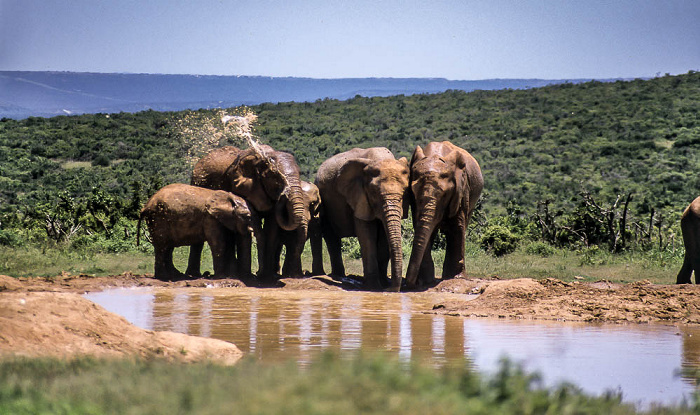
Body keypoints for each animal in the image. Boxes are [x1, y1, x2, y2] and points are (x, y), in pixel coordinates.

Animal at [190, 145, 308, 280]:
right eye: (276, 177)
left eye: (299, 173)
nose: (283, 193)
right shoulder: (238, 186)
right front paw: (250, 277)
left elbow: (271, 229)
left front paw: (268, 277)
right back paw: (197, 274)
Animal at [314, 148, 408, 290]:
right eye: (374, 193)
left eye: (405, 192)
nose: (390, 288)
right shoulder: (359, 196)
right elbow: (366, 233)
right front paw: (374, 287)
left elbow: (384, 238)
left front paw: (383, 283)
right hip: (323, 201)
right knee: (332, 238)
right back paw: (338, 276)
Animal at [402, 141, 484, 290]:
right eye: (414, 192)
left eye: (445, 195)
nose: (410, 284)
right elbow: (422, 228)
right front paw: (425, 281)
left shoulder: (462, 189)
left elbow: (457, 227)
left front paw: (456, 277)